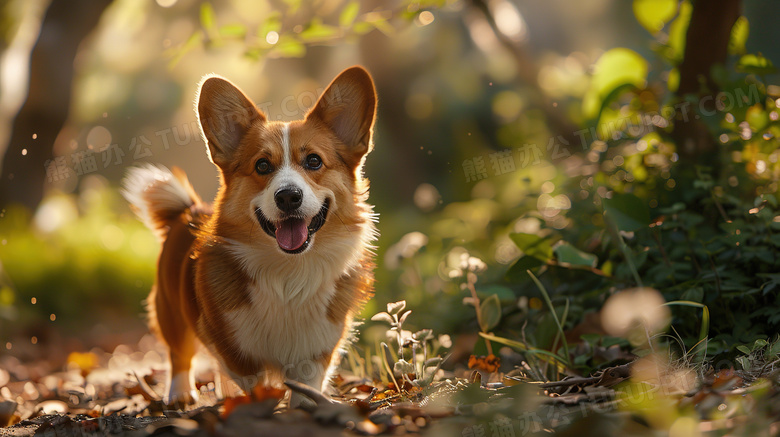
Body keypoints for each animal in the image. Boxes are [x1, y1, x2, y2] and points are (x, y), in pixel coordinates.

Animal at [122, 66, 378, 408]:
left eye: (314, 161)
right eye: (262, 165)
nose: (288, 197)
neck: (289, 274)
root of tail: (189, 210)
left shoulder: (317, 349)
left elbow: (306, 386)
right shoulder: (233, 346)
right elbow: (250, 383)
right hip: (171, 311)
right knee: (180, 354)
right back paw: (180, 393)